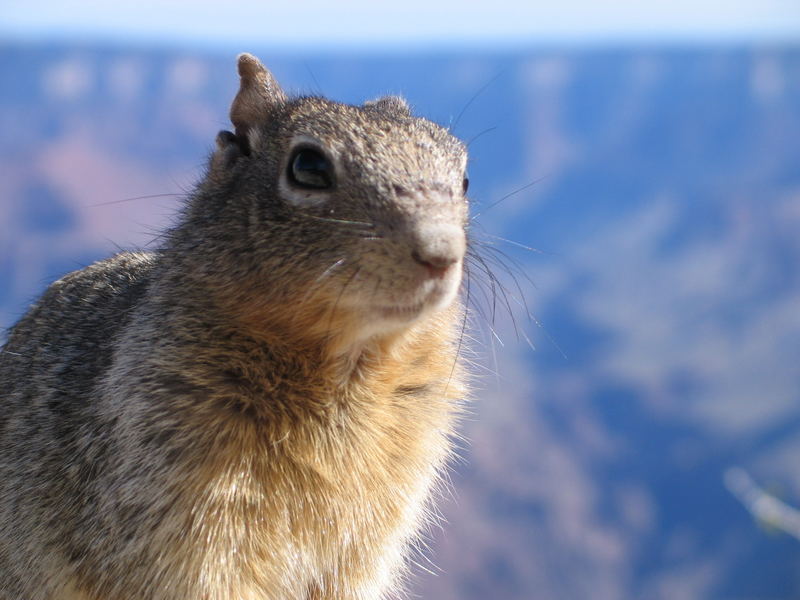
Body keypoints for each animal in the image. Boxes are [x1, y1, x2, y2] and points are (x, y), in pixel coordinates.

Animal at [0, 54, 468, 596]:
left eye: (464, 178)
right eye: (308, 166)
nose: (442, 253)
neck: (347, 369)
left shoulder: (375, 536)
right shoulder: (188, 513)